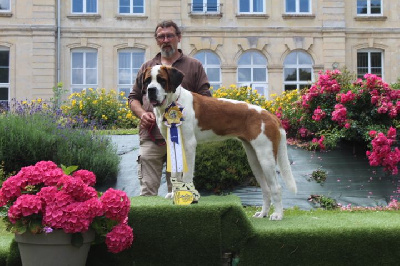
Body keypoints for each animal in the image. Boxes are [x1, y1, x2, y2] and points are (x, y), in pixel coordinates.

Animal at [145, 65, 296, 220]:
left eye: (162, 80)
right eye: (147, 81)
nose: (151, 90)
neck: (173, 102)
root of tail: (271, 116)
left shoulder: (188, 144)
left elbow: (186, 174)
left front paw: (186, 194)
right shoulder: (172, 143)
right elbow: (175, 173)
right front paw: (174, 193)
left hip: (266, 158)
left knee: (276, 188)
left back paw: (277, 214)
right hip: (254, 160)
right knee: (266, 188)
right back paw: (263, 213)